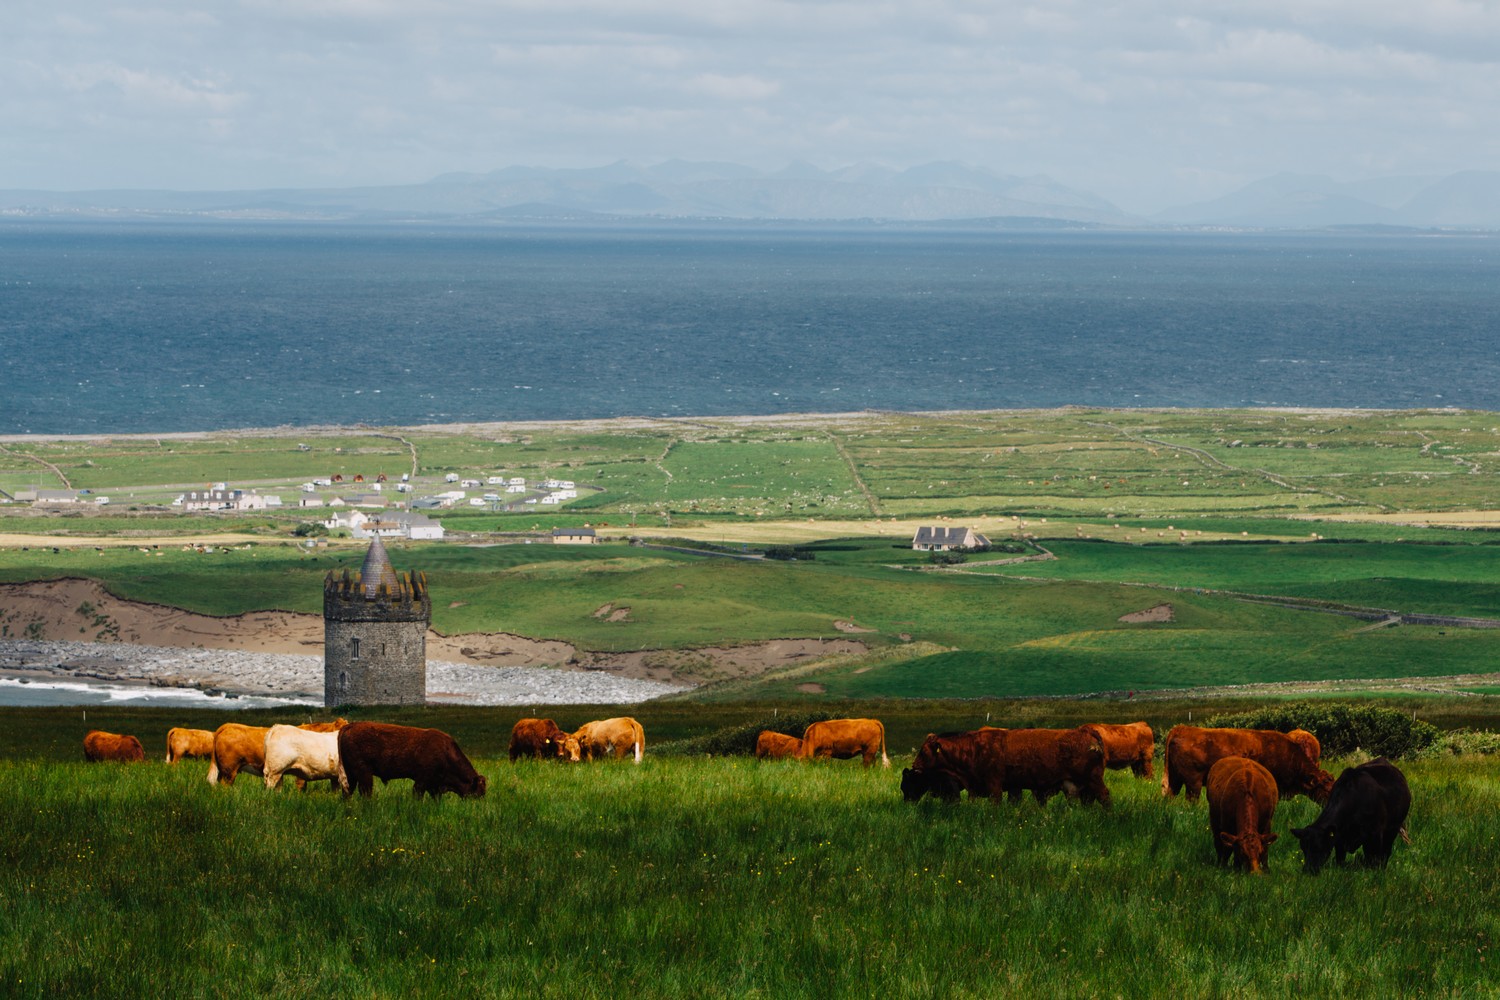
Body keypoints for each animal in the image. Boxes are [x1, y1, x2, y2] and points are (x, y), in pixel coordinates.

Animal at [336, 722, 486, 803]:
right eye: (478, 792)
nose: (478, 806)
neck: (446, 752)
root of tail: (350, 726)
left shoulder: (434, 786)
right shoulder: (422, 782)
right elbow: (417, 795)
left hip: (351, 774)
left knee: (347, 792)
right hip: (364, 774)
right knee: (365, 792)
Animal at [900, 722, 1116, 809]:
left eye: (924, 751)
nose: (915, 764)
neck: (973, 747)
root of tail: (1087, 732)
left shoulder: (995, 786)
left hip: (1093, 780)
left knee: (1104, 796)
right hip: (1077, 785)